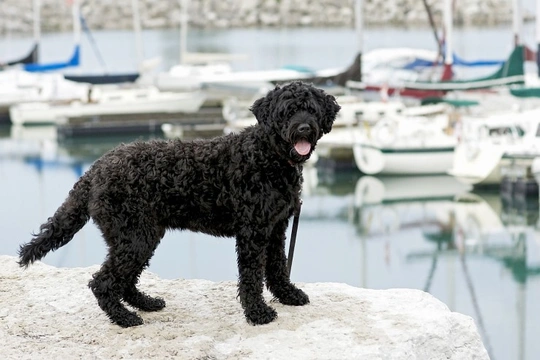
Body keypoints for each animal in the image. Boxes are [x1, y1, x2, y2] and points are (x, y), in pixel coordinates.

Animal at [19, 81, 340, 326]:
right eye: (288, 112)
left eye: (311, 110)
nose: (303, 128)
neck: (267, 156)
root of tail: (94, 170)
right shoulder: (254, 232)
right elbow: (252, 276)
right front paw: (257, 313)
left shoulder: (276, 228)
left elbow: (277, 267)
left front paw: (288, 295)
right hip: (135, 236)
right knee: (104, 282)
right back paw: (125, 318)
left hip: (139, 236)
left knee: (125, 279)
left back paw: (145, 303)